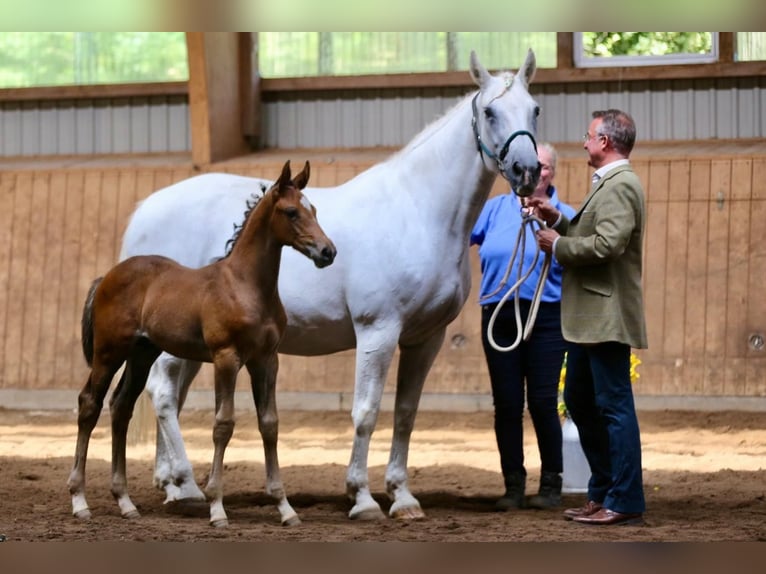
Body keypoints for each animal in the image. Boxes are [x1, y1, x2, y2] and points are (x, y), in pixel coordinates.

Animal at [67, 160, 337, 527]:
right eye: (292, 211)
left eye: (315, 210)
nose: (328, 251)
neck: (245, 286)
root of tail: (107, 276)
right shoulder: (227, 358)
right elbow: (223, 424)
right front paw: (217, 507)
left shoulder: (266, 359)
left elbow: (269, 424)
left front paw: (285, 508)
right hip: (109, 352)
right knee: (89, 404)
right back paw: (80, 501)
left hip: (141, 355)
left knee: (121, 407)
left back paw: (125, 502)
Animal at [120, 49, 541, 521]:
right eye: (489, 112)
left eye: (534, 109)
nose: (527, 171)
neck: (417, 212)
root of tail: (146, 210)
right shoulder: (378, 330)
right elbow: (366, 413)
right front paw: (362, 497)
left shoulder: (426, 338)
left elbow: (406, 413)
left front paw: (403, 496)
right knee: (163, 394)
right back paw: (189, 486)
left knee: (170, 394)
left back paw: (172, 485)